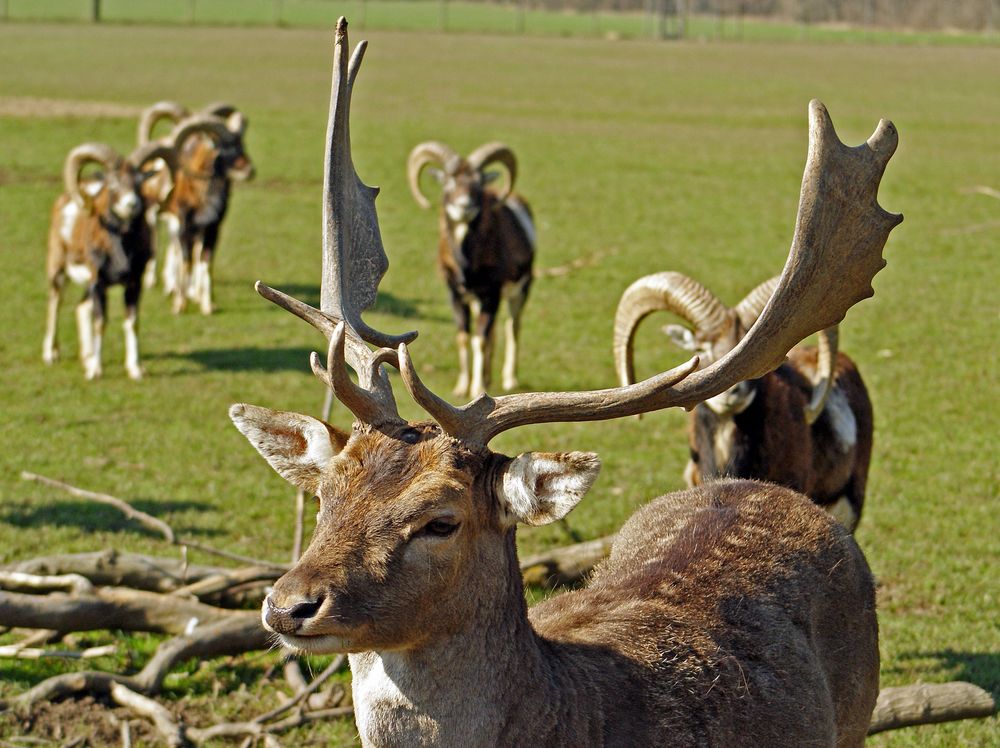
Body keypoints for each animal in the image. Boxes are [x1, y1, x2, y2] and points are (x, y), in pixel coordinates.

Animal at [232, 19, 900, 748]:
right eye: (324, 494)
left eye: (441, 521)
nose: (289, 604)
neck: (575, 714)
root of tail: (769, 490)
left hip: (857, 710)